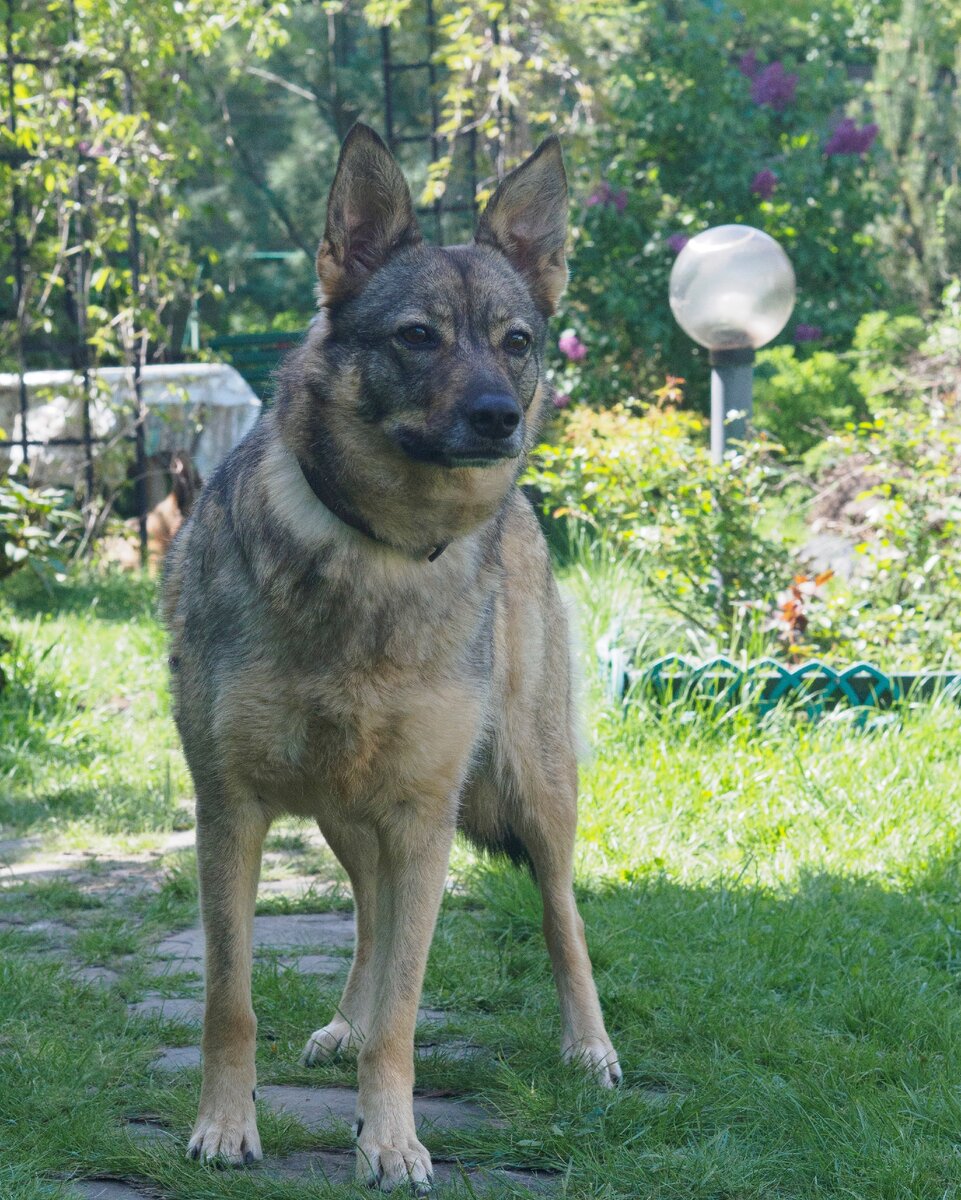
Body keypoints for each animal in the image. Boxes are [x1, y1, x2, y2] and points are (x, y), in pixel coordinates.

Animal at [161, 121, 619, 1190]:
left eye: (516, 341)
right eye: (417, 336)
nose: (498, 417)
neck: (379, 550)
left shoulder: (423, 818)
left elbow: (409, 1014)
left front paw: (395, 1141)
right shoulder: (230, 812)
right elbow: (229, 1002)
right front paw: (225, 1127)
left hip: (527, 790)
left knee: (562, 917)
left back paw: (588, 1048)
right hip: (347, 815)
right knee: (369, 917)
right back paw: (343, 1023)